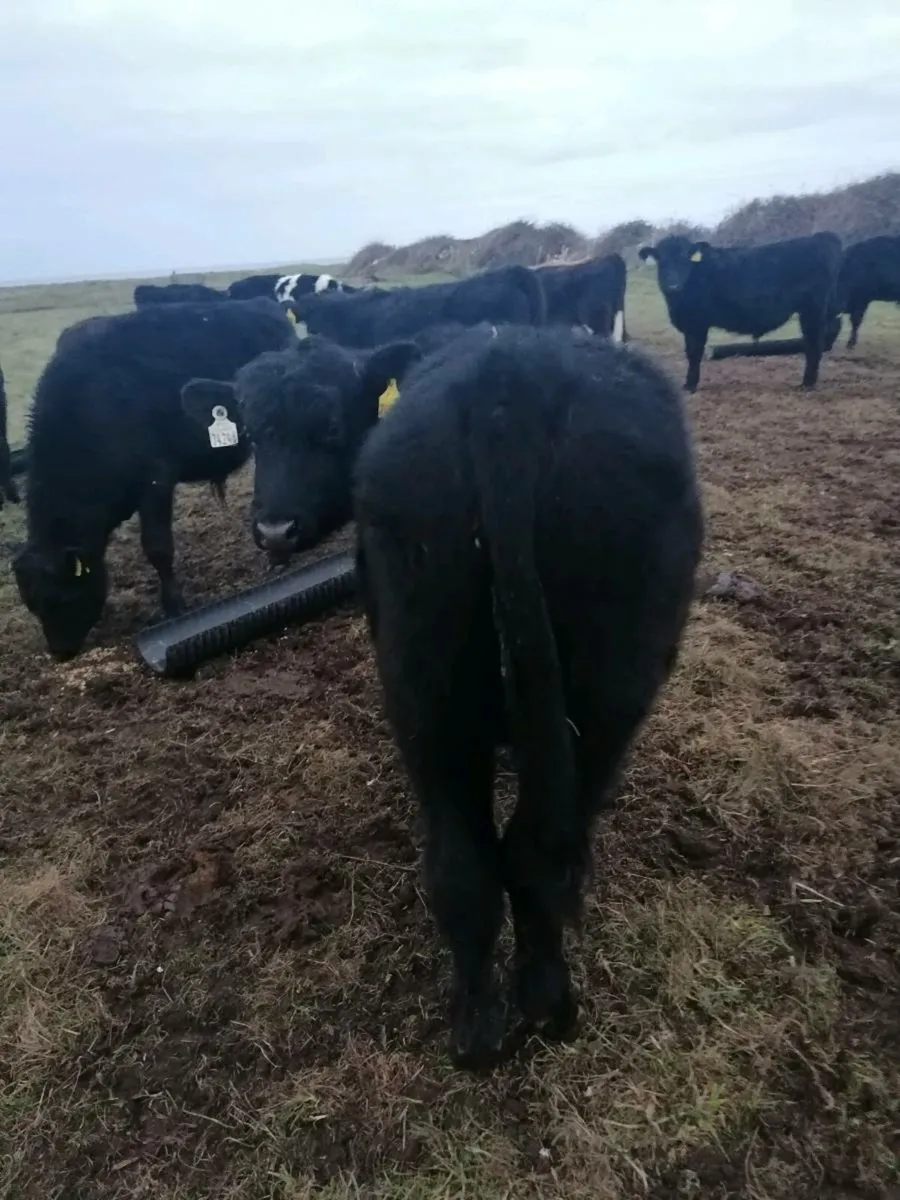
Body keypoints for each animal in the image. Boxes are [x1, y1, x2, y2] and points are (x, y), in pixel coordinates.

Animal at [12, 298, 296, 661]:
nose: (60, 652)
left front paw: (174, 606)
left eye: (62, 597)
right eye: (32, 604)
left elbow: (158, 547)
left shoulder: (156, 481)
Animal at [350, 324, 703, 1067]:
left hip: (425, 689)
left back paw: (477, 1030)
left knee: (464, 866)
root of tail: (508, 380)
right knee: (537, 854)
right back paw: (549, 1003)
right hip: (606, 698)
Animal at [638, 232, 843, 391]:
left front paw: (690, 385)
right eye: (661, 261)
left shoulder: (697, 324)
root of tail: (820, 237)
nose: (674, 286)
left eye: (685, 259)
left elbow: (693, 353)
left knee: (814, 343)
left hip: (813, 309)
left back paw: (807, 384)